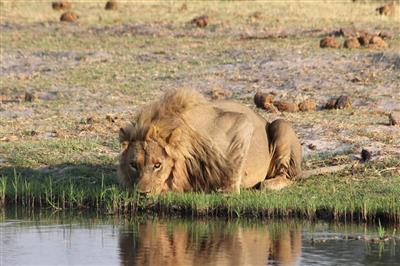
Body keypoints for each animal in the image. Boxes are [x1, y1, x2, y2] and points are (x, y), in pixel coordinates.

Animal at [117, 88, 302, 194]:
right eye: (133, 165)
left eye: (157, 165)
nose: (142, 193)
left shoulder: (241, 123)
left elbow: (234, 163)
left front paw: (227, 190)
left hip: (281, 125)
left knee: (287, 176)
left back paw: (268, 184)